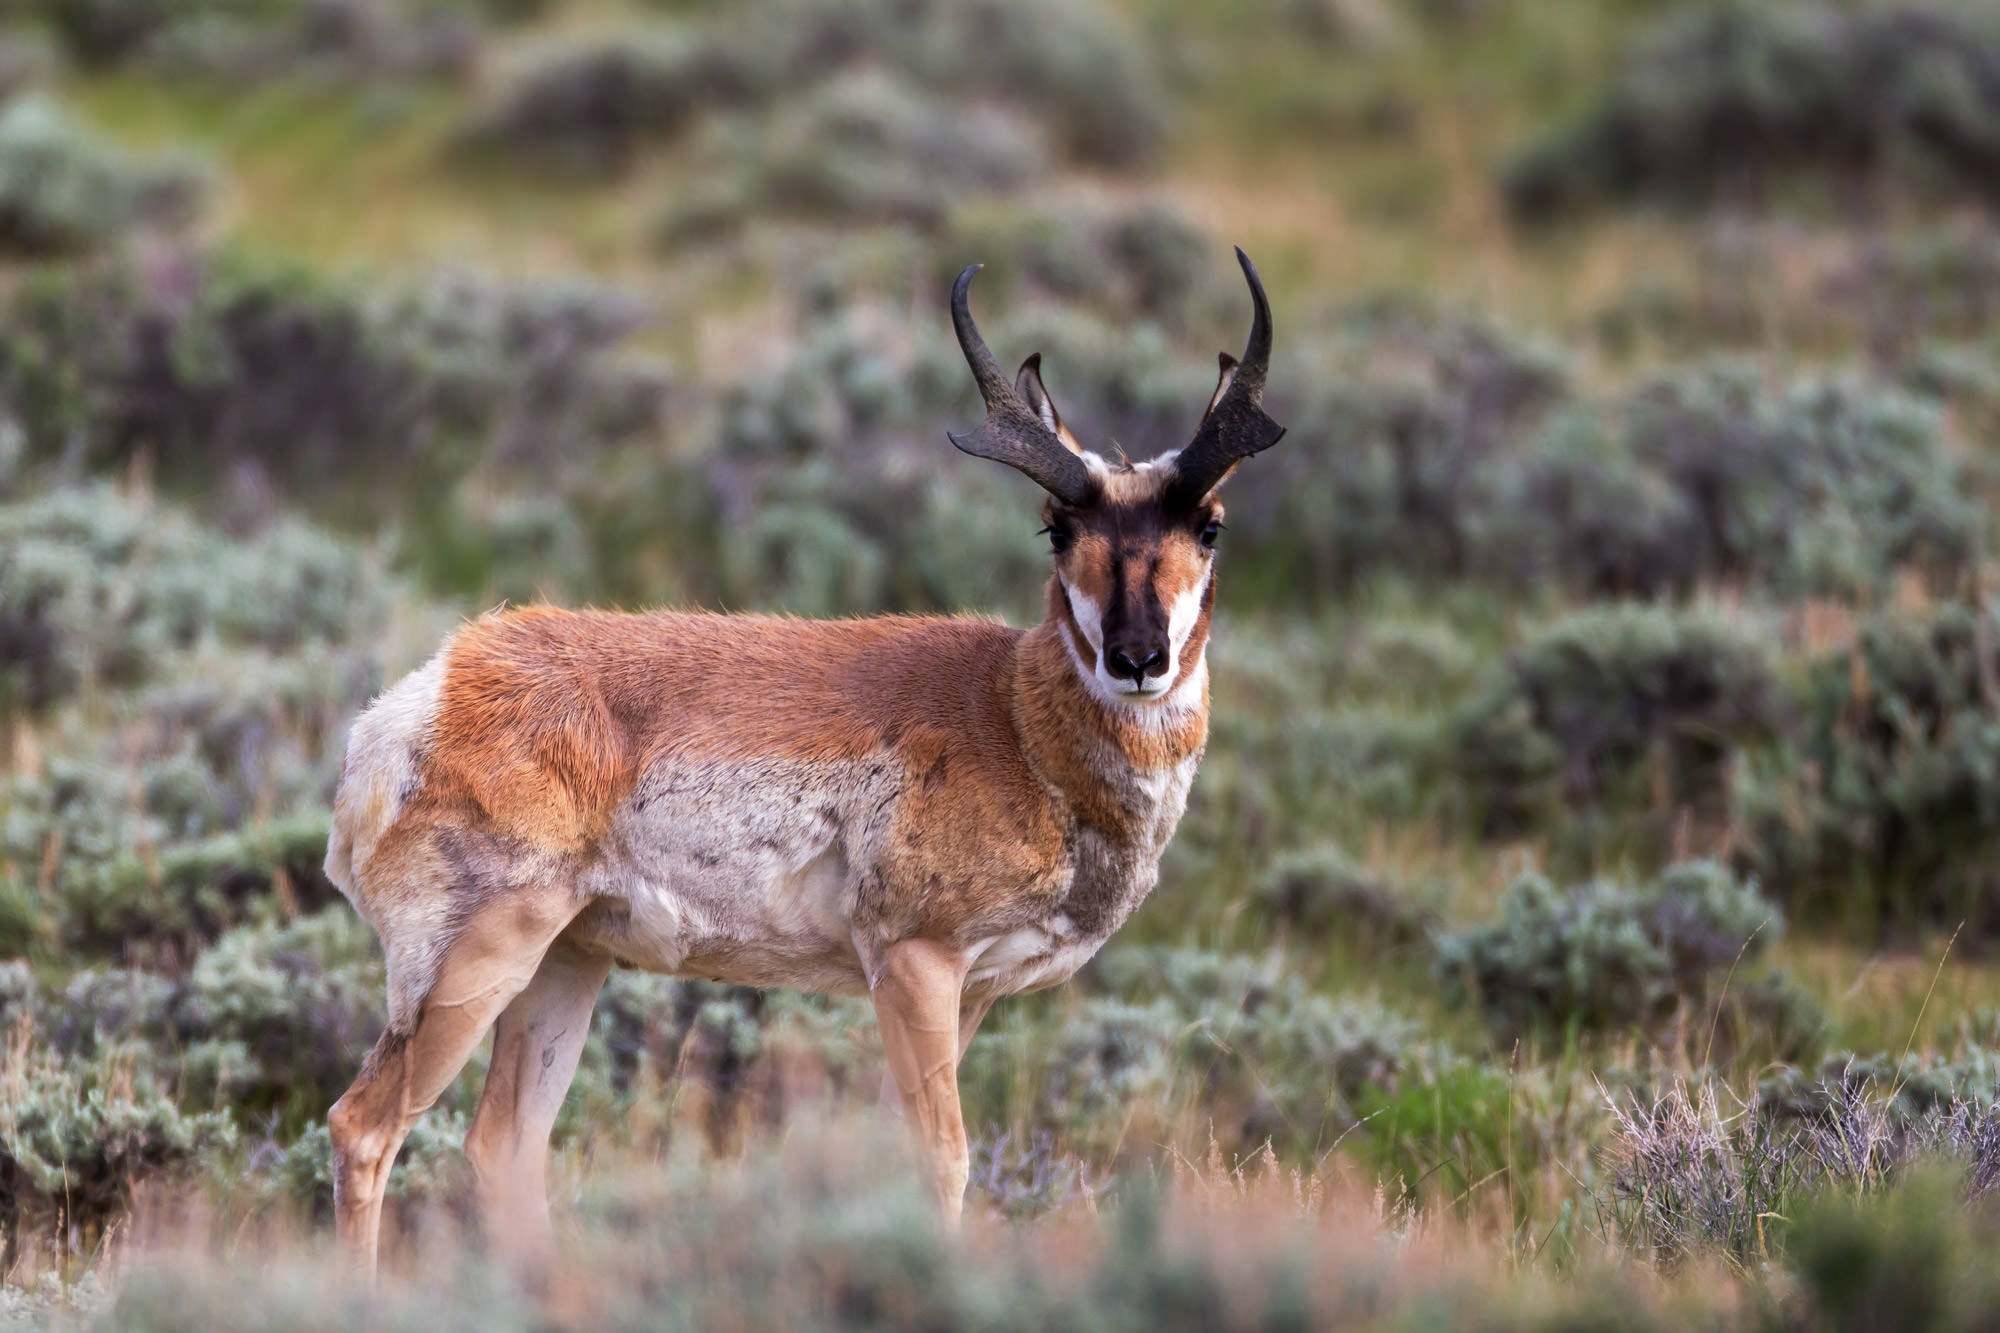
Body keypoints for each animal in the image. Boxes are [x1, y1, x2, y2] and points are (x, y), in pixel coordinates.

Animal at [322, 249, 1286, 1274]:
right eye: (1058, 528)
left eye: (1211, 524)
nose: (1139, 658)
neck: (1013, 716)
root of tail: (428, 693)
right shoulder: (914, 962)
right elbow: (943, 1160)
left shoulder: (969, 993)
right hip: (475, 963)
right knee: (364, 1125)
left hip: (565, 964)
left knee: (503, 1142)